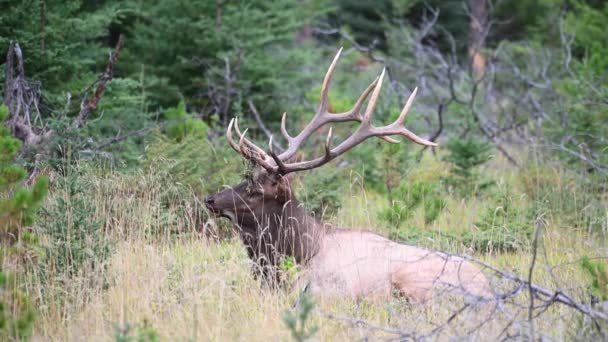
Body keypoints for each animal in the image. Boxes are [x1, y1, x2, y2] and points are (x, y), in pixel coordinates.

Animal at [207, 48, 492, 302]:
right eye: (244, 178)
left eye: (255, 190)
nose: (210, 199)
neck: (300, 252)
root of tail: (488, 287)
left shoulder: (326, 292)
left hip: (413, 281)